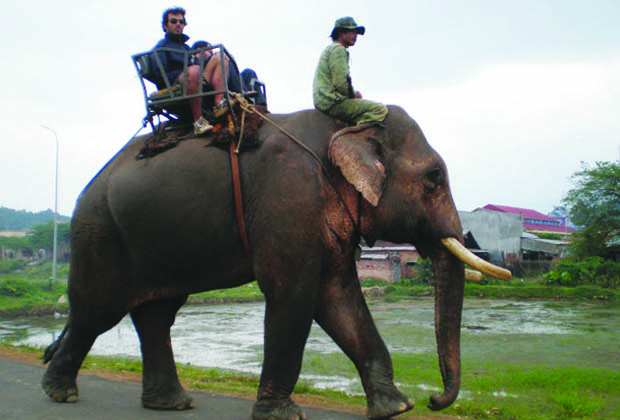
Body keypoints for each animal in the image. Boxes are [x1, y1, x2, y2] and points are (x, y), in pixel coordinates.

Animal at [42, 106, 508, 420]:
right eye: (434, 179)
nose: (434, 399)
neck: (345, 127)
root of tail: (91, 182)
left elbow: (339, 298)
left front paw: (396, 408)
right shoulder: (289, 199)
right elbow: (294, 295)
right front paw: (283, 415)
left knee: (157, 314)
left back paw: (171, 403)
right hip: (100, 232)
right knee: (97, 311)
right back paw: (61, 393)